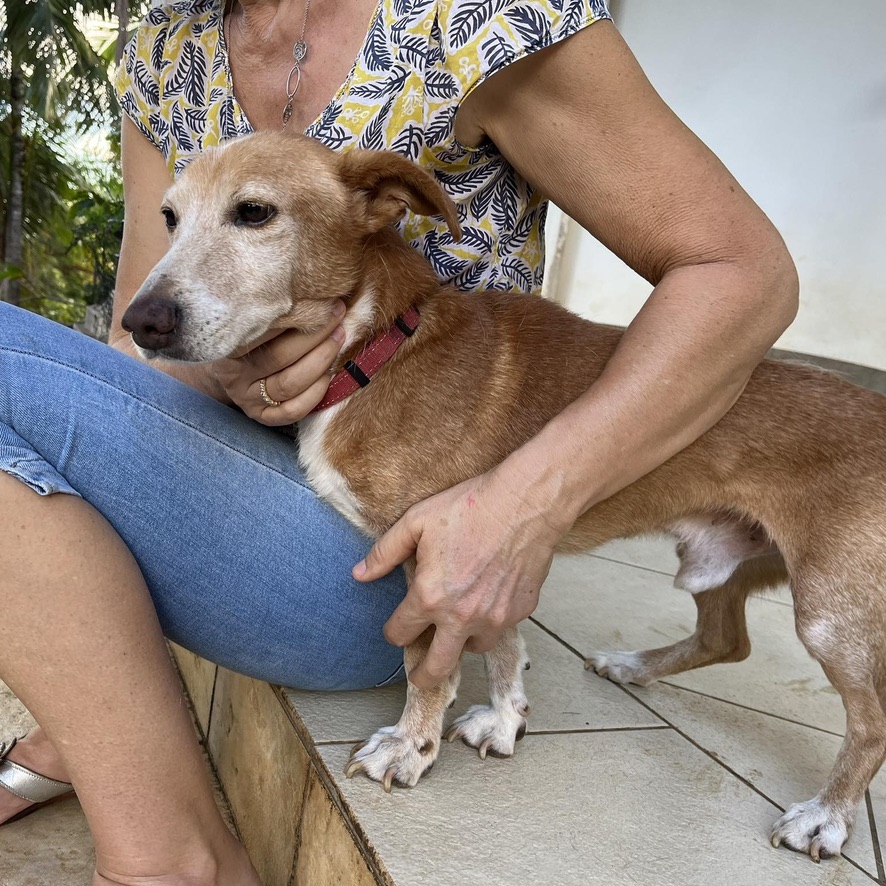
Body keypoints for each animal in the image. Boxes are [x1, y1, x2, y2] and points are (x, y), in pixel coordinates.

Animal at [123, 134, 886, 868]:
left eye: (254, 212)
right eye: (169, 218)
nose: (139, 320)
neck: (381, 345)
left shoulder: (436, 556)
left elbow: (428, 669)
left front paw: (411, 748)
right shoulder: (490, 553)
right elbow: (503, 641)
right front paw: (507, 715)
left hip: (830, 613)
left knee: (871, 723)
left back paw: (826, 818)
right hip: (716, 560)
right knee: (727, 638)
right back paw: (635, 667)